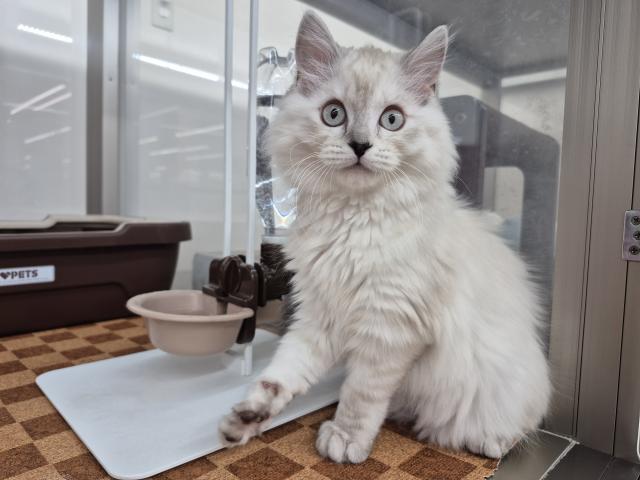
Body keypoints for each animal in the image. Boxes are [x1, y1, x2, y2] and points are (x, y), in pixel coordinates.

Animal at [219, 11, 551, 463]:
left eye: (392, 119)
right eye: (334, 114)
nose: (360, 145)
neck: (352, 220)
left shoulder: (391, 327)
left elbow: (360, 394)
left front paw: (345, 440)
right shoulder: (319, 315)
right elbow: (282, 375)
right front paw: (247, 418)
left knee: (513, 424)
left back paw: (489, 442)